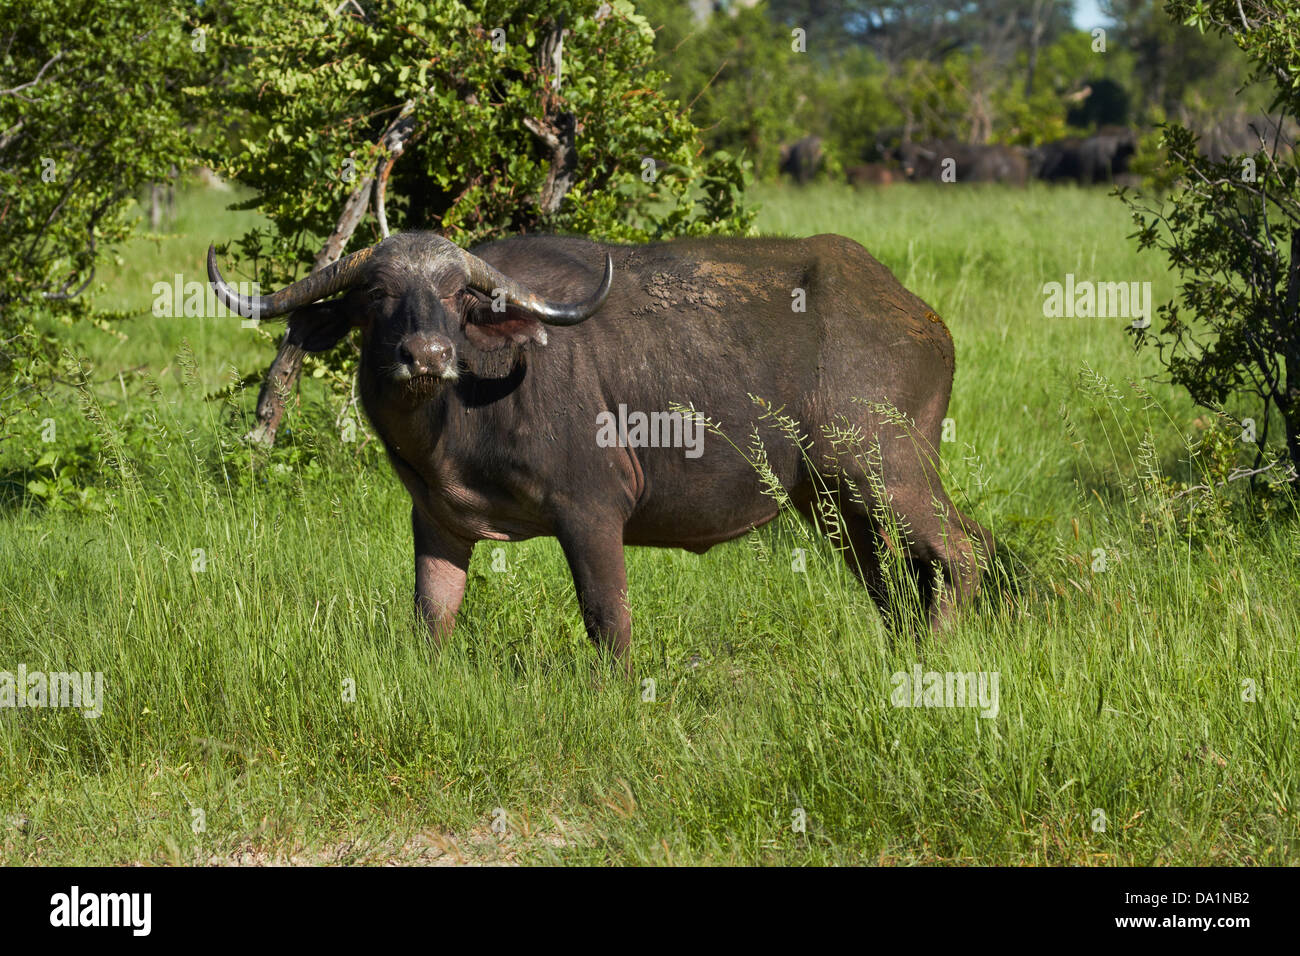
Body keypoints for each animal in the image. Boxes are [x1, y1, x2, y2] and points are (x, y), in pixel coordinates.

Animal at [208, 231, 987, 665]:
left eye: (461, 295)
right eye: (376, 293)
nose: (426, 354)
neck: (461, 418)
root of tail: (923, 318)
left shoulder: (590, 512)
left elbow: (606, 618)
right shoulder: (435, 520)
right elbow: (433, 614)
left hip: (889, 470)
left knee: (960, 552)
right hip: (831, 502)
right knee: (889, 582)